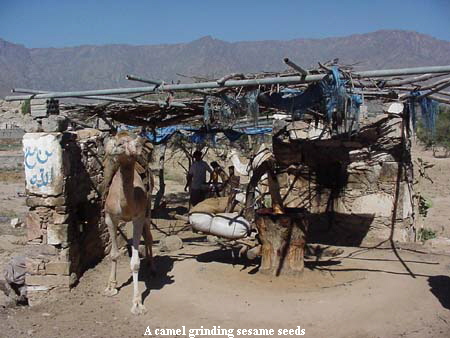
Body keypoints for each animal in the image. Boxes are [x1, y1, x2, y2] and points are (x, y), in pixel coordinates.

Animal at [103, 131, 154, 314]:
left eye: (131, 143)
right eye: (117, 141)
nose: (117, 147)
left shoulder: (138, 217)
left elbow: (135, 262)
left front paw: (137, 303)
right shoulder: (110, 217)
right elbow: (113, 254)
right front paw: (111, 287)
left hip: (147, 212)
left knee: (149, 237)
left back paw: (152, 267)